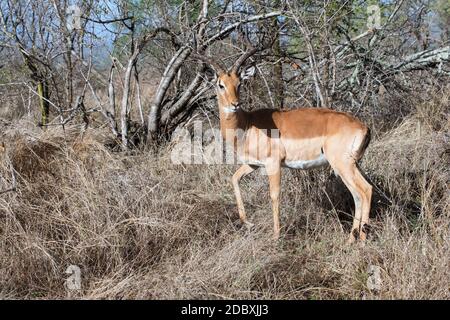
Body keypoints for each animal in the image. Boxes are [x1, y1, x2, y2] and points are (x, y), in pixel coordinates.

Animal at [193, 48, 372, 242]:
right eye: (221, 84)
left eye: (239, 83)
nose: (235, 104)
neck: (247, 125)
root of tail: (364, 127)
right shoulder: (253, 164)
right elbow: (234, 178)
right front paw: (248, 223)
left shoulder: (273, 163)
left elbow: (274, 194)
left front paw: (276, 236)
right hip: (352, 165)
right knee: (359, 195)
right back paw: (351, 240)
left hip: (342, 165)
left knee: (365, 190)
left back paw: (362, 241)